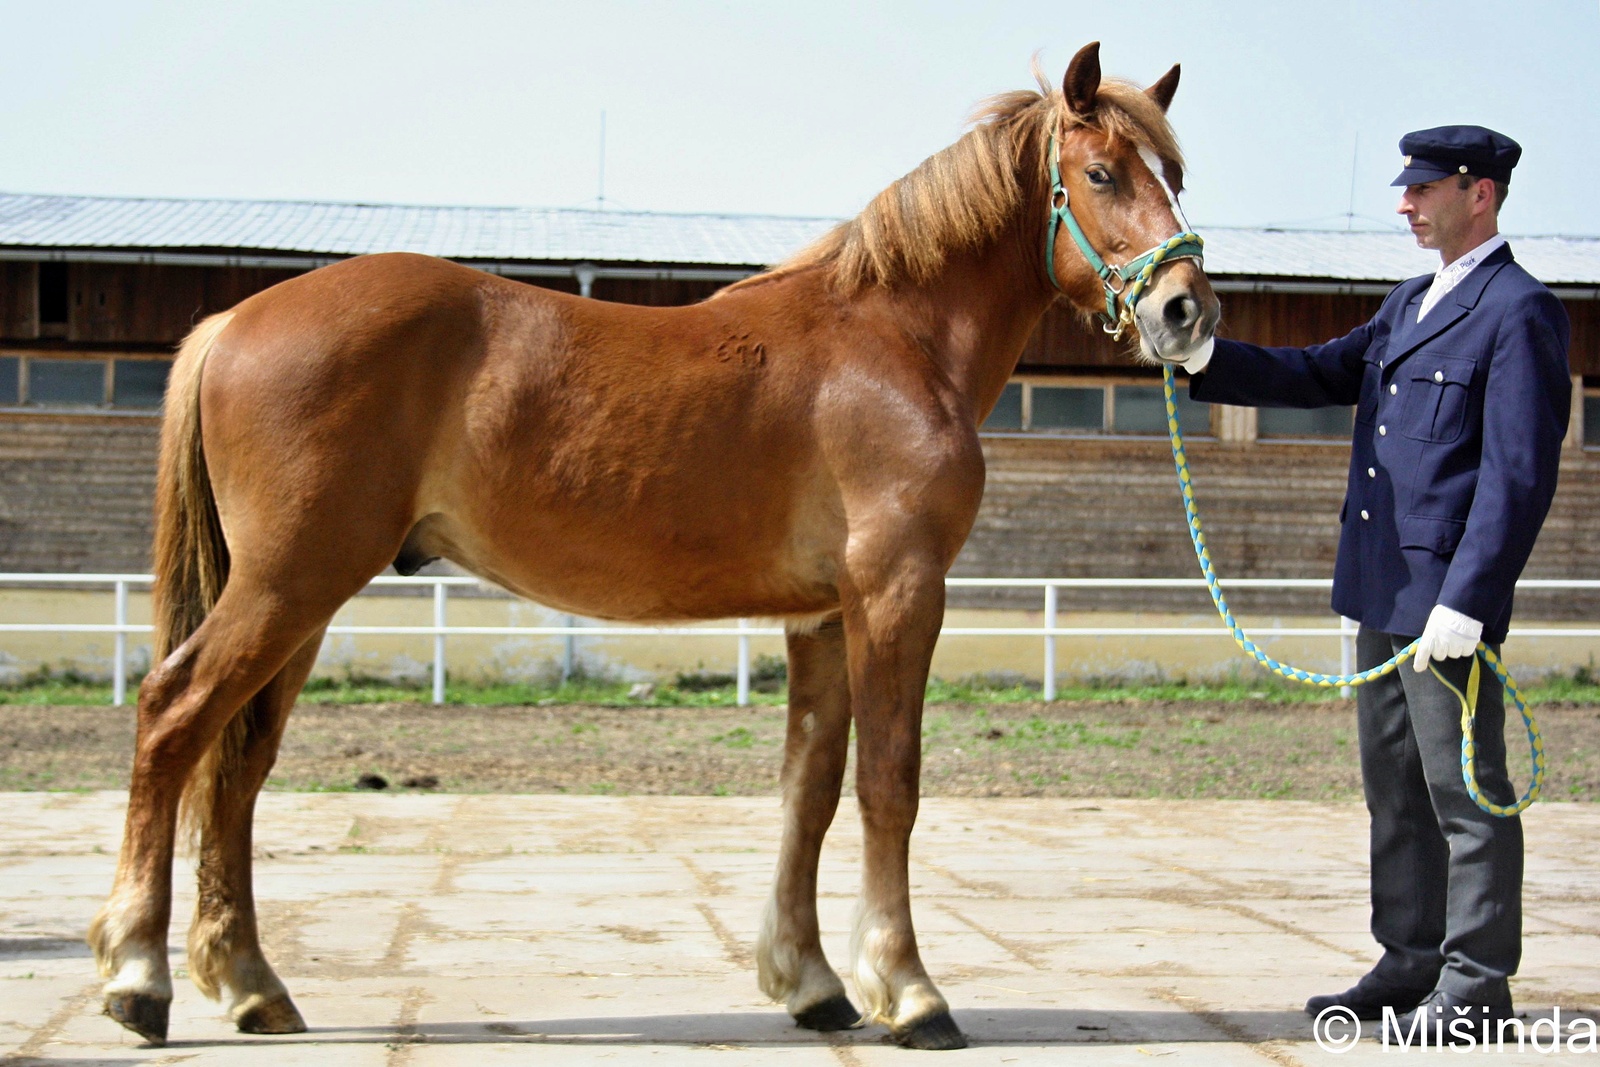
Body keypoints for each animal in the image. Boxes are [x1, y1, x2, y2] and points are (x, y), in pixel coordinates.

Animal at [87, 43, 1216, 1049]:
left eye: (1175, 174)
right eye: (1102, 173)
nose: (1186, 311)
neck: (893, 338)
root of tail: (233, 320)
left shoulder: (822, 615)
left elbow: (809, 786)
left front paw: (810, 982)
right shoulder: (897, 592)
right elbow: (888, 781)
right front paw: (909, 990)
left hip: (302, 601)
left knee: (238, 764)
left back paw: (249, 984)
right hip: (289, 585)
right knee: (173, 715)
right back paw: (139, 977)